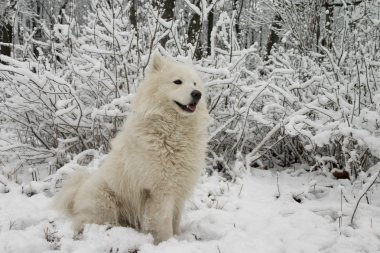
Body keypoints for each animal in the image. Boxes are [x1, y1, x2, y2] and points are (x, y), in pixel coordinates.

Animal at [52, 52, 211, 244]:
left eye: (194, 84)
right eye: (177, 82)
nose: (197, 94)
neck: (172, 133)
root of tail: (77, 194)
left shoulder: (179, 189)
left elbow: (175, 220)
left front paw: (179, 237)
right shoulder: (160, 191)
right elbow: (165, 223)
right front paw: (167, 242)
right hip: (106, 204)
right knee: (82, 223)